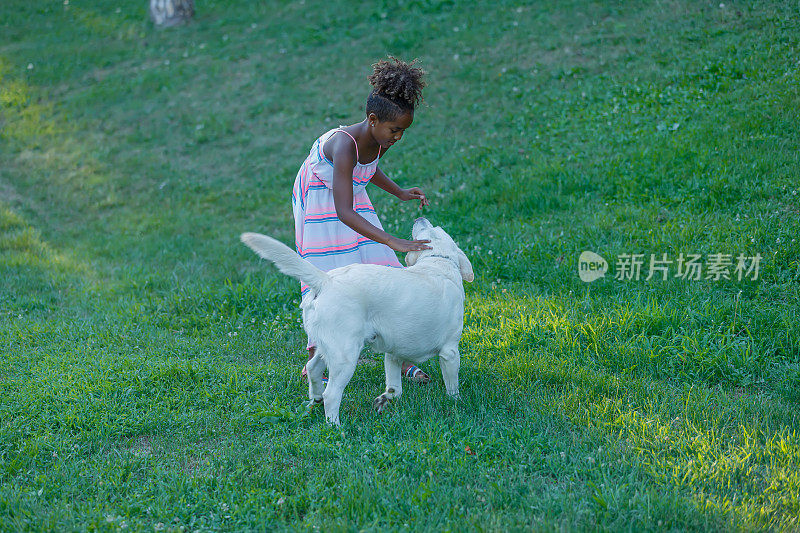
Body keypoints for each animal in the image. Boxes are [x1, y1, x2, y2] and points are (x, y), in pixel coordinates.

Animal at [241, 216, 472, 424]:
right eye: (429, 230)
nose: (420, 217)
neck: (438, 261)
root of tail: (325, 280)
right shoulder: (450, 352)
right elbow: (452, 386)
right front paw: (456, 403)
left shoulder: (393, 353)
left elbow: (394, 387)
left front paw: (385, 400)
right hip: (346, 355)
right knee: (332, 394)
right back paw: (335, 427)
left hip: (328, 347)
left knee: (313, 369)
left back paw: (315, 399)